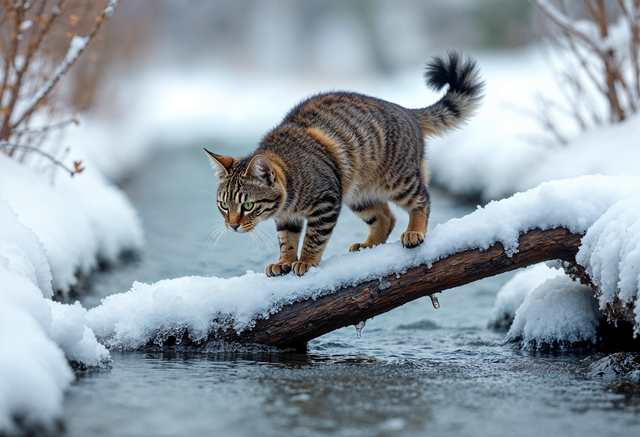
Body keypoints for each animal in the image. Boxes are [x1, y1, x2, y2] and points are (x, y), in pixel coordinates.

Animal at [208, 50, 482, 276]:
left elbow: (313, 239)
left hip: (399, 180)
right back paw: (370, 246)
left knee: (421, 199)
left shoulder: (326, 203)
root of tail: (407, 110)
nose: (232, 226)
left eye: (248, 206)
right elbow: (287, 240)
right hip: (360, 194)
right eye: (223, 205)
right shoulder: (287, 218)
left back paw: (414, 231)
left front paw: (306, 261)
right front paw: (284, 260)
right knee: (385, 217)